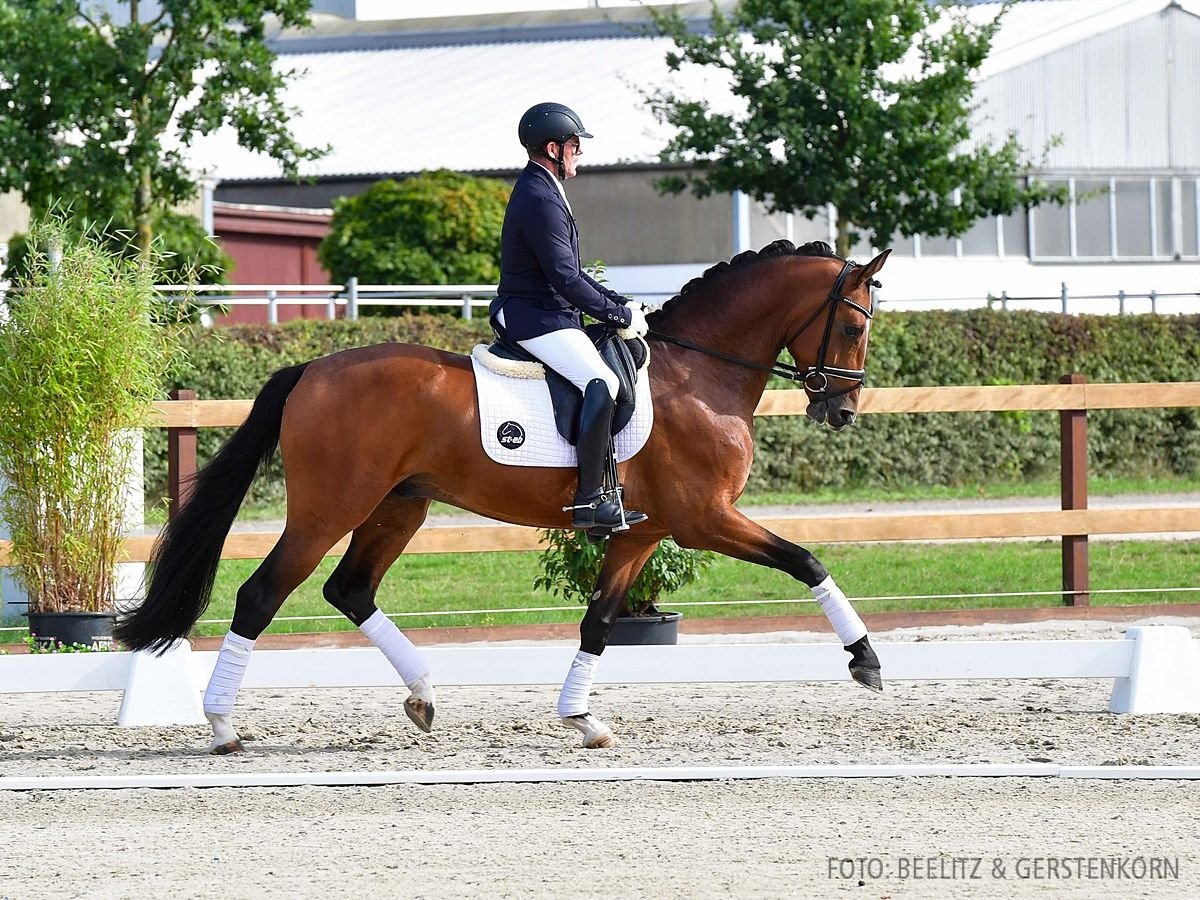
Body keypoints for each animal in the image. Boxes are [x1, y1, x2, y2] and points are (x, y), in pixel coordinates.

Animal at [117, 240, 892, 753]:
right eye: (856, 325)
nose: (842, 412)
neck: (699, 375)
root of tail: (310, 370)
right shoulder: (706, 519)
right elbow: (807, 560)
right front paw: (866, 659)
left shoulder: (640, 534)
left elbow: (598, 623)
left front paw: (583, 719)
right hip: (329, 509)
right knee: (262, 595)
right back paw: (222, 725)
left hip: (401, 505)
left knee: (350, 589)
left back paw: (424, 697)